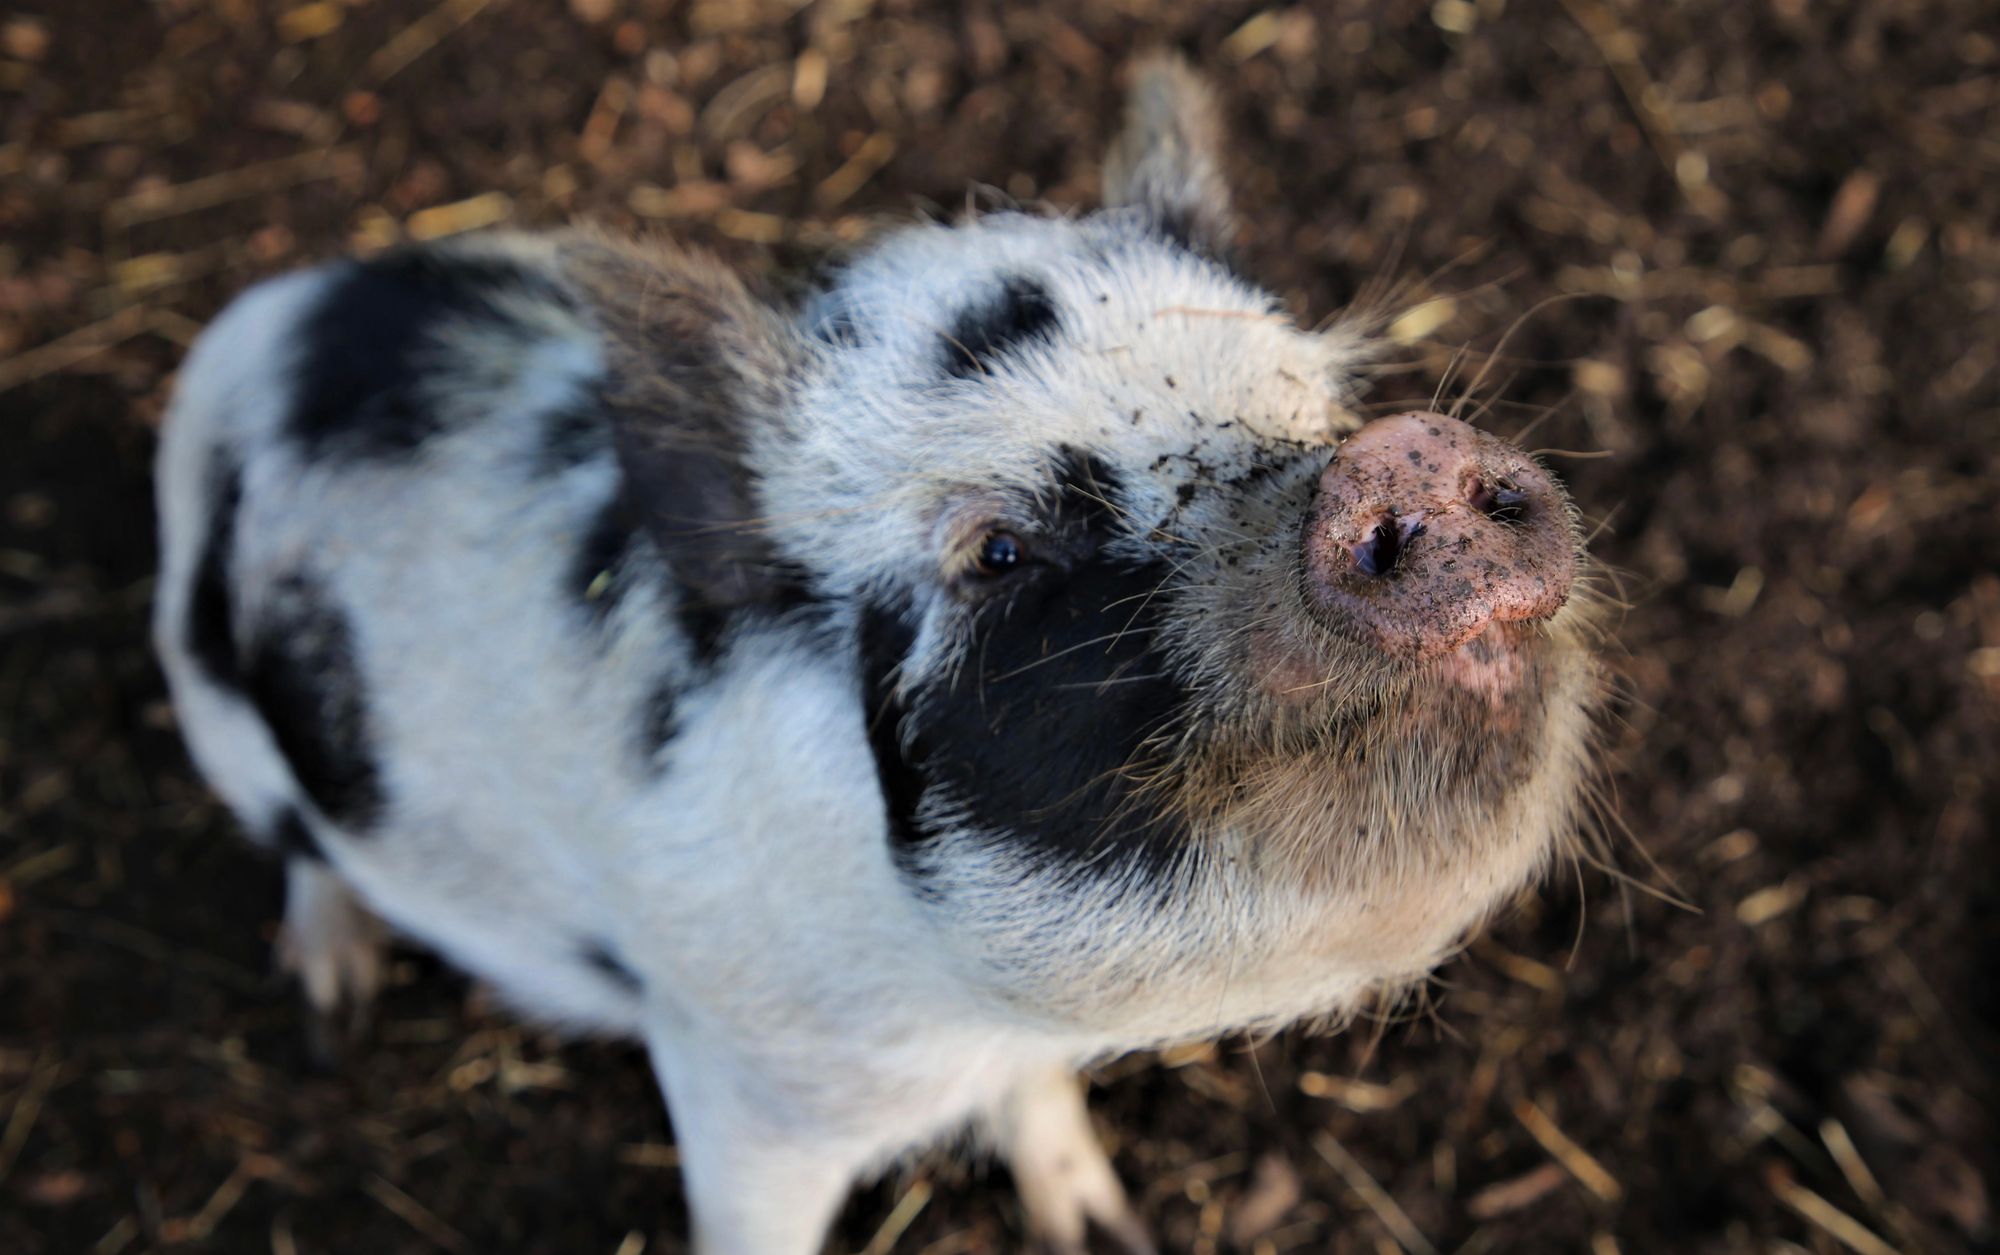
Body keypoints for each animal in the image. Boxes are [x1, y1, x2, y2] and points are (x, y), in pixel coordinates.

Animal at [152, 56, 1604, 1255]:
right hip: (214, 710)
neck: (965, 1013)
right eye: (997, 552)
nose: (1401, 453)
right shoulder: (736, 1079)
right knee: (302, 851)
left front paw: (1104, 1232)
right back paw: (329, 1010)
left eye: (1315, 411)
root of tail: (268, 310)